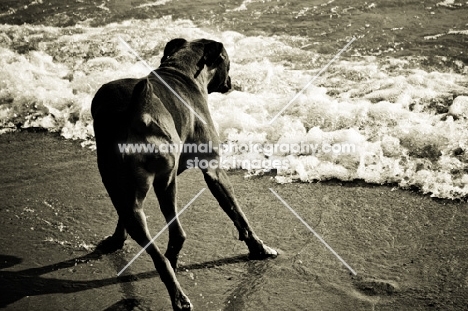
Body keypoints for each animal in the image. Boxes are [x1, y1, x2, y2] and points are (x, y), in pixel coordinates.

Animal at [90, 39, 278, 311]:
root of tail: (139, 109)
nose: (231, 82)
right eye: (228, 61)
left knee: (137, 220)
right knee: (177, 234)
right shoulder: (214, 169)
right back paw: (177, 288)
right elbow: (237, 212)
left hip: (125, 182)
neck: (181, 71)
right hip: (166, 183)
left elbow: (121, 215)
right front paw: (259, 247)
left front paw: (116, 239)